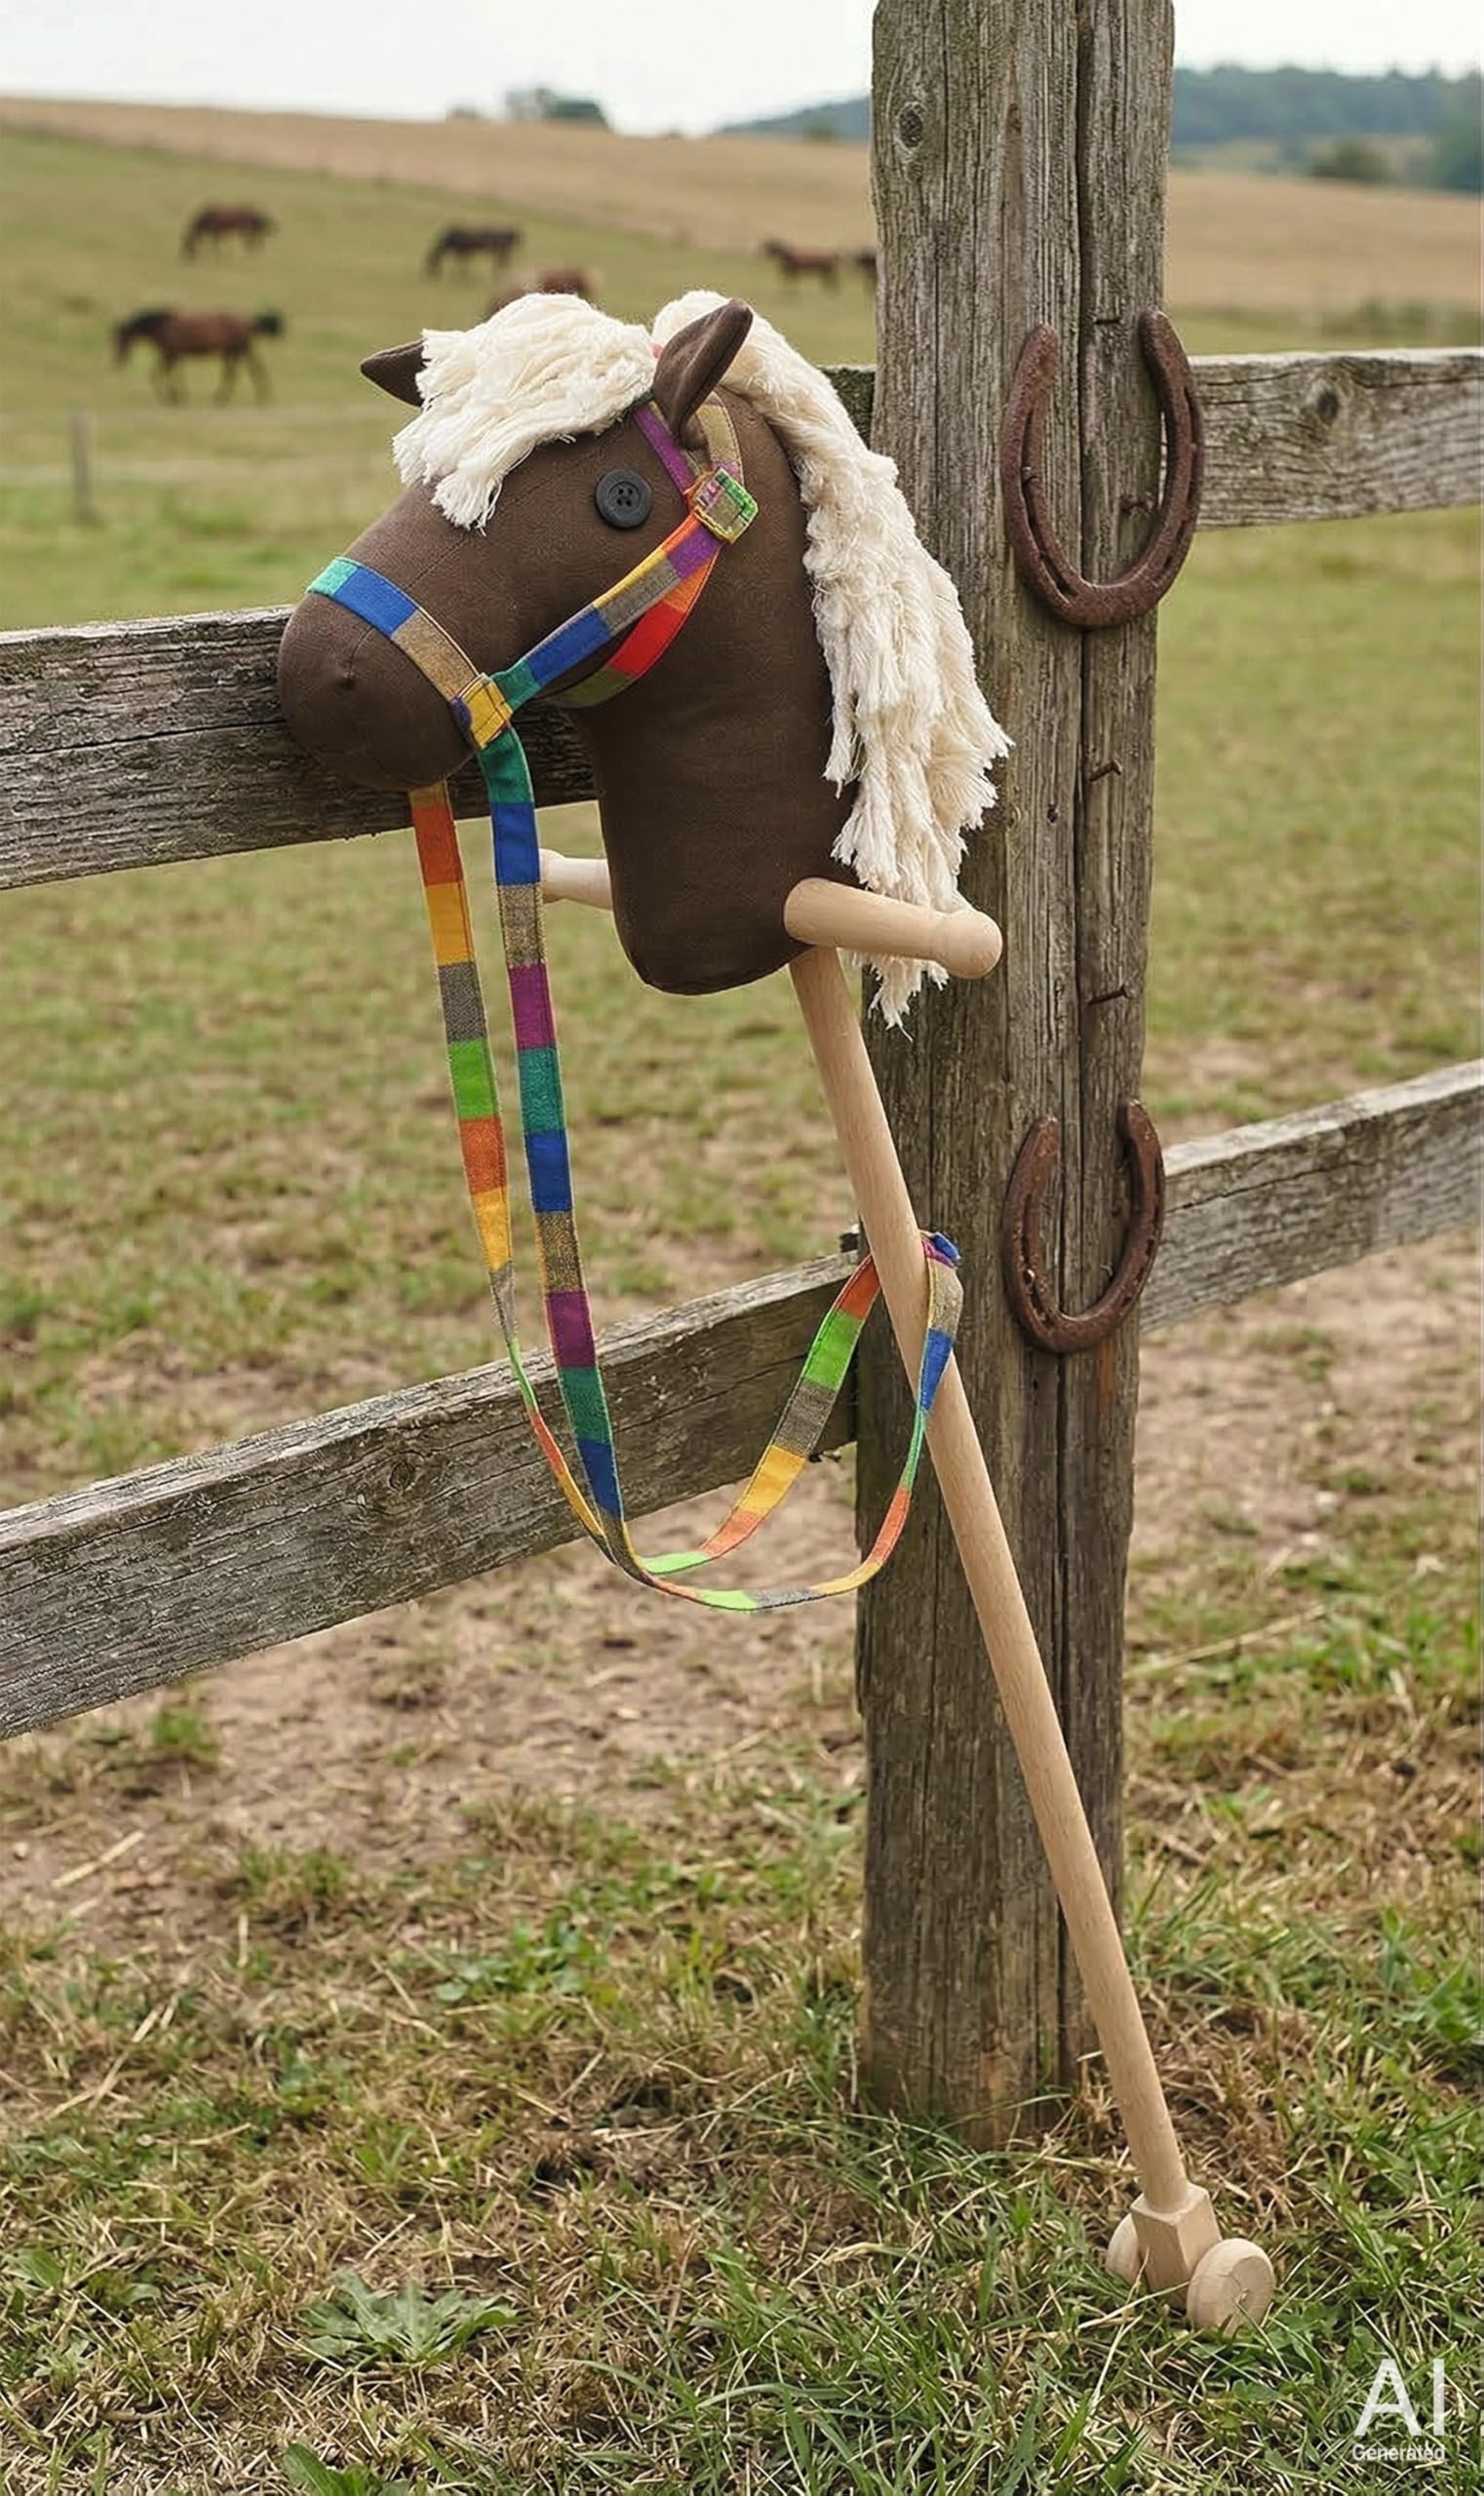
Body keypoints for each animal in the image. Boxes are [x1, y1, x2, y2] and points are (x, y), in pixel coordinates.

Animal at [113, 308, 285, 402]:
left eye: (122, 338)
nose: (118, 360)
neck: (164, 326)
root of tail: (249, 321)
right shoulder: (174, 355)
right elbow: (174, 375)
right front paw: (178, 395)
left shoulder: (170, 354)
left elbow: (156, 375)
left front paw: (171, 397)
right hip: (235, 351)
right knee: (241, 371)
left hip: (239, 350)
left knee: (248, 370)